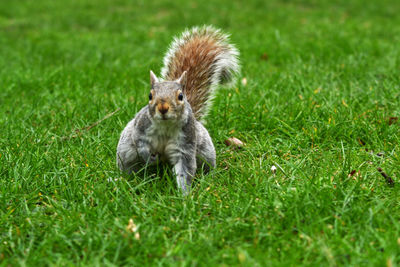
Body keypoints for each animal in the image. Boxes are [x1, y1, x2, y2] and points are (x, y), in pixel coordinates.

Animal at [116, 26, 241, 195]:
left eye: (181, 96)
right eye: (150, 96)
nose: (163, 108)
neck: (166, 126)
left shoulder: (185, 143)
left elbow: (185, 169)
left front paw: (184, 195)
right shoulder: (141, 128)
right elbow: (140, 144)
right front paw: (150, 158)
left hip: (206, 150)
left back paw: (208, 178)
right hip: (125, 150)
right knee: (128, 165)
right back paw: (126, 179)